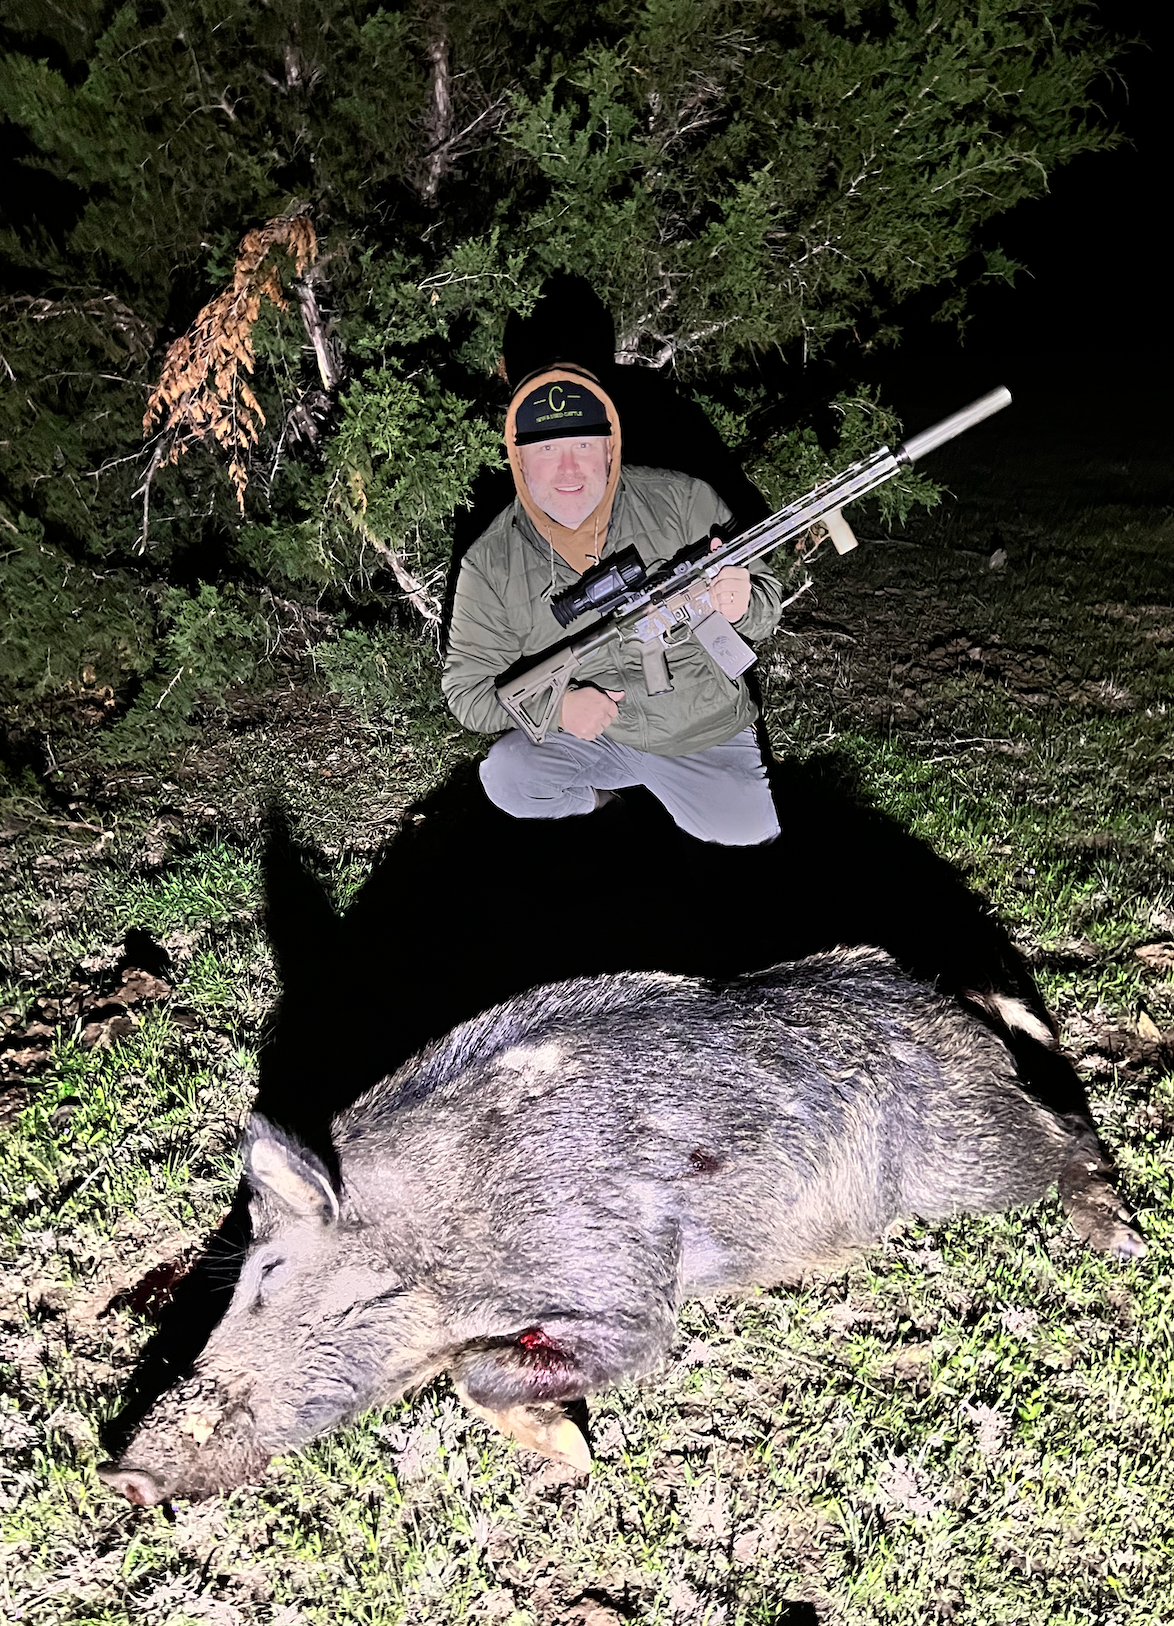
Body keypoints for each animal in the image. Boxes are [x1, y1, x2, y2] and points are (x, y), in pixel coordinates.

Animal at [99, 946, 1143, 1506]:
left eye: (270, 1275)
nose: (120, 1475)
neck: (448, 1233)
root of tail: (948, 996)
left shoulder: (627, 1289)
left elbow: (508, 1369)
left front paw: (575, 1459)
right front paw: (566, 1454)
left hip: (966, 1157)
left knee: (1063, 1133)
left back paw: (1123, 1241)